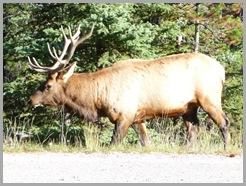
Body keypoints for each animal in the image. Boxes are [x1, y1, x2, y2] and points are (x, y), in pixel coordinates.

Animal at [28, 24, 229, 150]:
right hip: (189, 107)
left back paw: (227, 147)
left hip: (209, 98)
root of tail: (222, 70)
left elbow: (113, 143)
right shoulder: (137, 117)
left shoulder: (124, 115)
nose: (31, 100)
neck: (97, 99)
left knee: (223, 122)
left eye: (48, 85)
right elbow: (146, 142)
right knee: (193, 129)